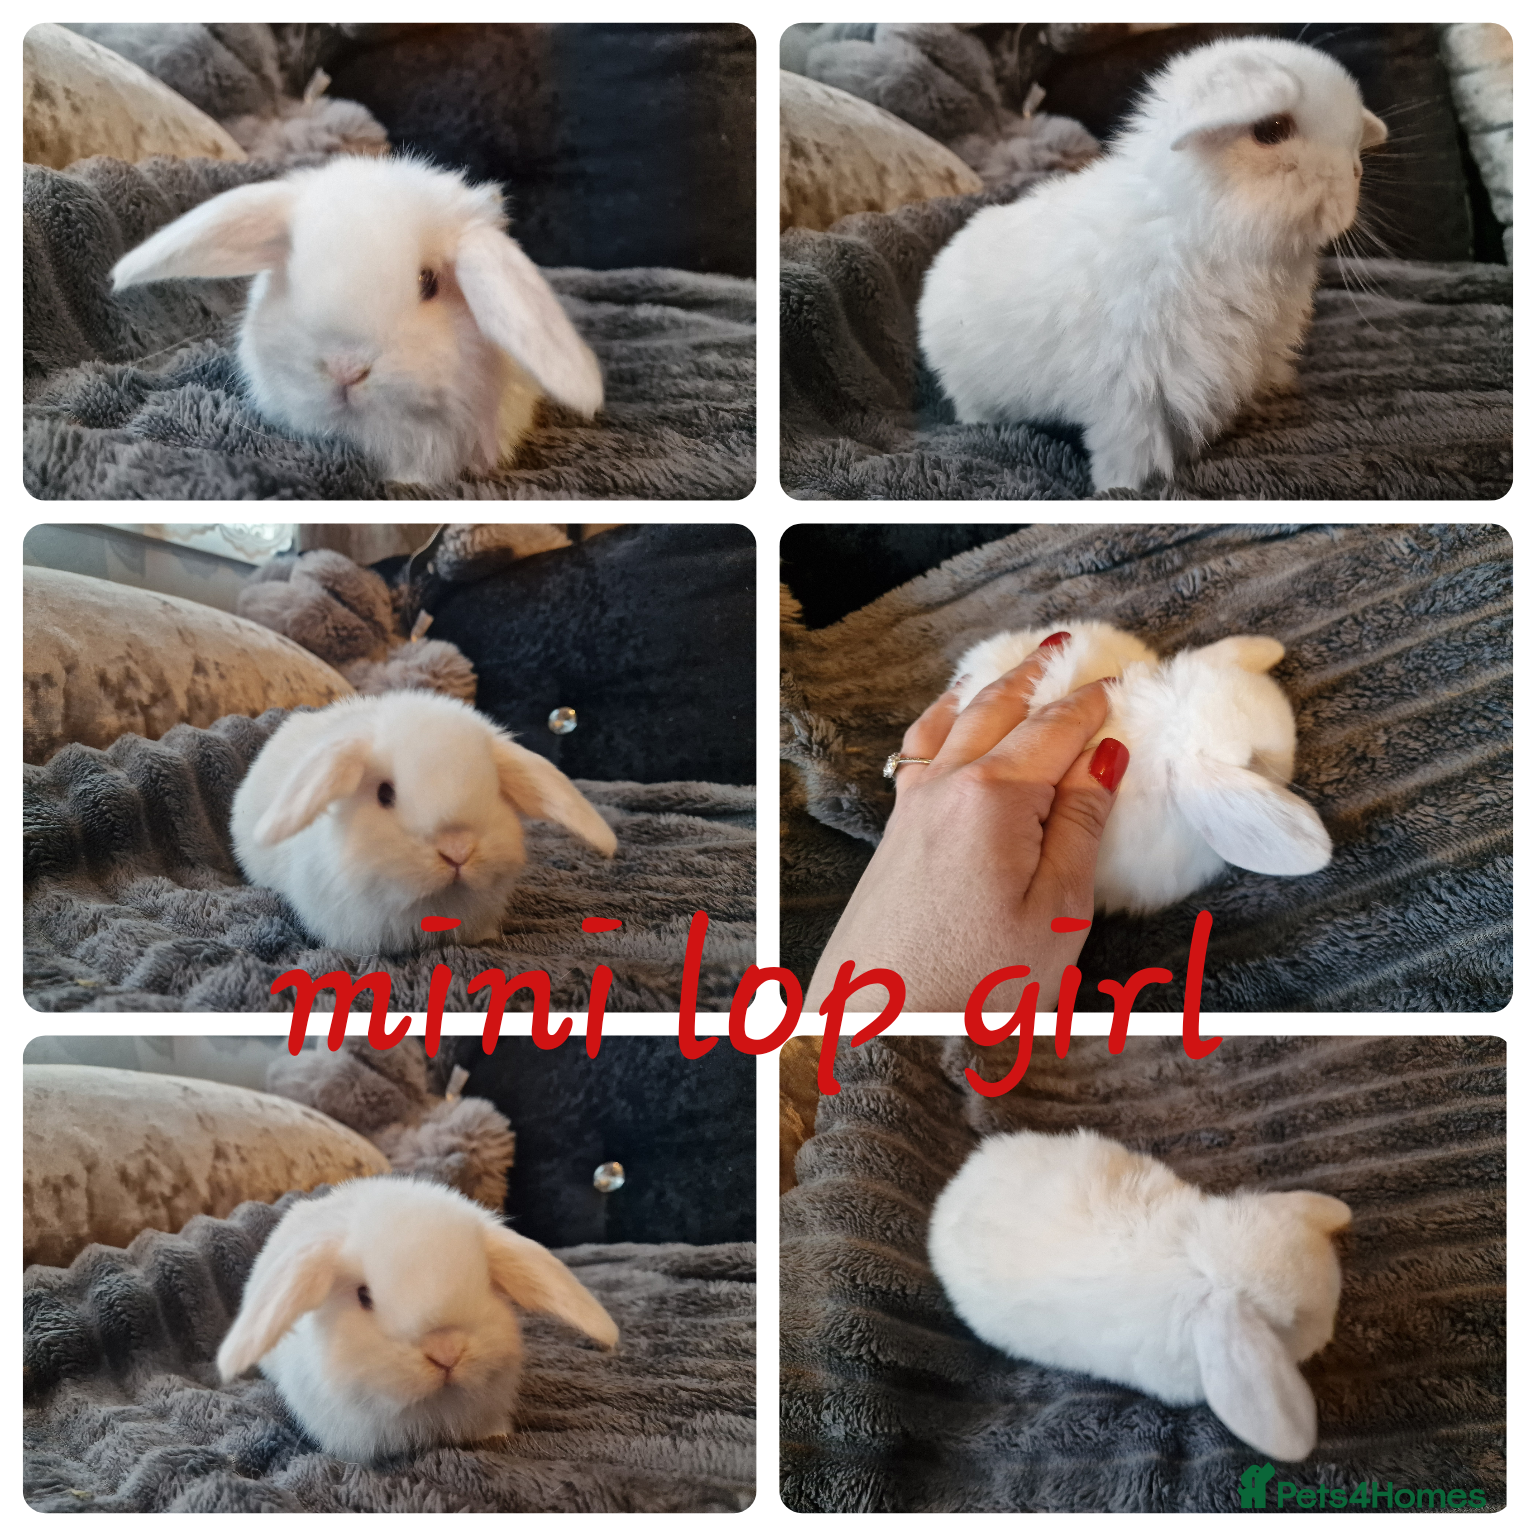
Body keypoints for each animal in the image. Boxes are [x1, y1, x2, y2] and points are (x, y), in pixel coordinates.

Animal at [917, 37, 1389, 492]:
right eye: (1271, 130)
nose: (1353, 174)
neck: (1202, 226)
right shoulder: (1132, 391)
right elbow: (1132, 448)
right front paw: (1122, 488)